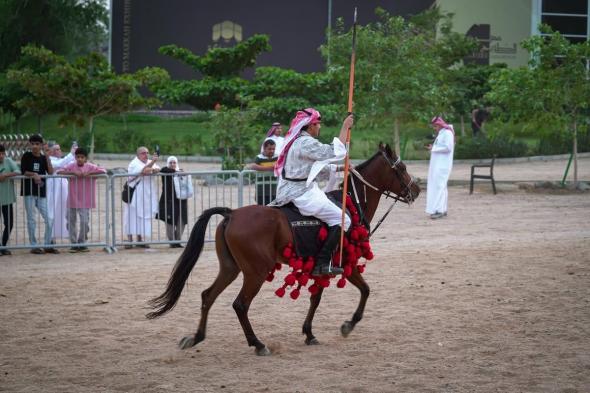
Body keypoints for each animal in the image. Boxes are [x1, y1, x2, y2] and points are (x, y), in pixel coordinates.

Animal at [150, 143, 424, 356]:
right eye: (401, 168)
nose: (417, 189)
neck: (350, 204)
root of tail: (231, 214)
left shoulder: (321, 268)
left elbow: (316, 298)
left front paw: (309, 333)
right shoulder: (345, 263)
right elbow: (365, 290)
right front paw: (348, 324)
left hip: (230, 268)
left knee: (208, 296)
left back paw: (196, 337)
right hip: (256, 272)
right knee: (240, 305)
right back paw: (258, 344)